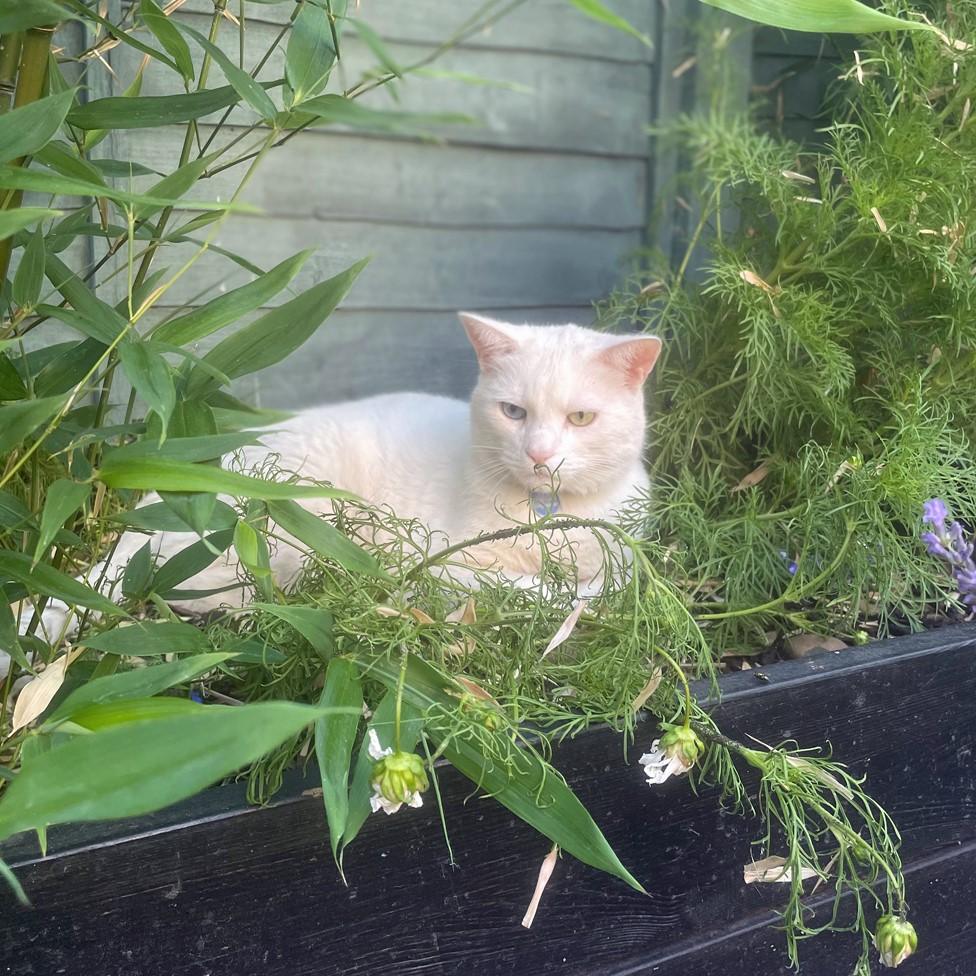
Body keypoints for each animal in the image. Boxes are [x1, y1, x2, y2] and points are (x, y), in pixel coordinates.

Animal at [7, 312, 660, 648]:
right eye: (513, 412)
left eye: (580, 418)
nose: (539, 454)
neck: (549, 514)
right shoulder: (446, 559)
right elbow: (540, 590)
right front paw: (557, 597)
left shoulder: (630, 553)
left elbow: (614, 581)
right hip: (285, 527)